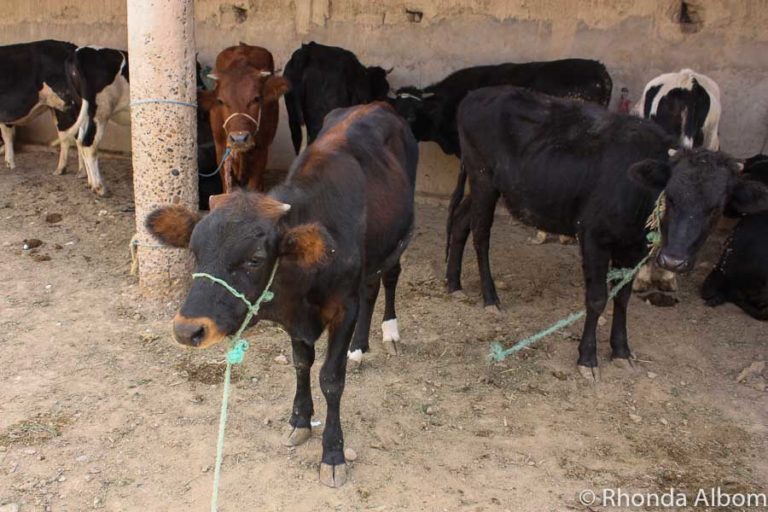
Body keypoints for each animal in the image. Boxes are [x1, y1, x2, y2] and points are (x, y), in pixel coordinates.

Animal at [0, 38, 85, 173]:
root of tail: (69, 47)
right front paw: (10, 164)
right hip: (57, 107)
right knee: (65, 135)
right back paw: (61, 170)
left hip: (67, 104)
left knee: (75, 135)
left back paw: (80, 171)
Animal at [145, 101, 420, 488]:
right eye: (195, 252)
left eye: (255, 259)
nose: (187, 330)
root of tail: (378, 104)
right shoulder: (293, 317)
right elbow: (301, 364)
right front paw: (300, 420)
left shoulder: (343, 307)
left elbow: (330, 379)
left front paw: (332, 453)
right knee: (371, 287)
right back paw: (359, 348)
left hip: (400, 238)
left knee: (389, 278)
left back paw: (389, 332)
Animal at [200, 42, 290, 192]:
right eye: (220, 101)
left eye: (256, 99)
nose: (239, 139)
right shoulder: (220, 148)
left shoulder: (262, 149)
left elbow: (253, 186)